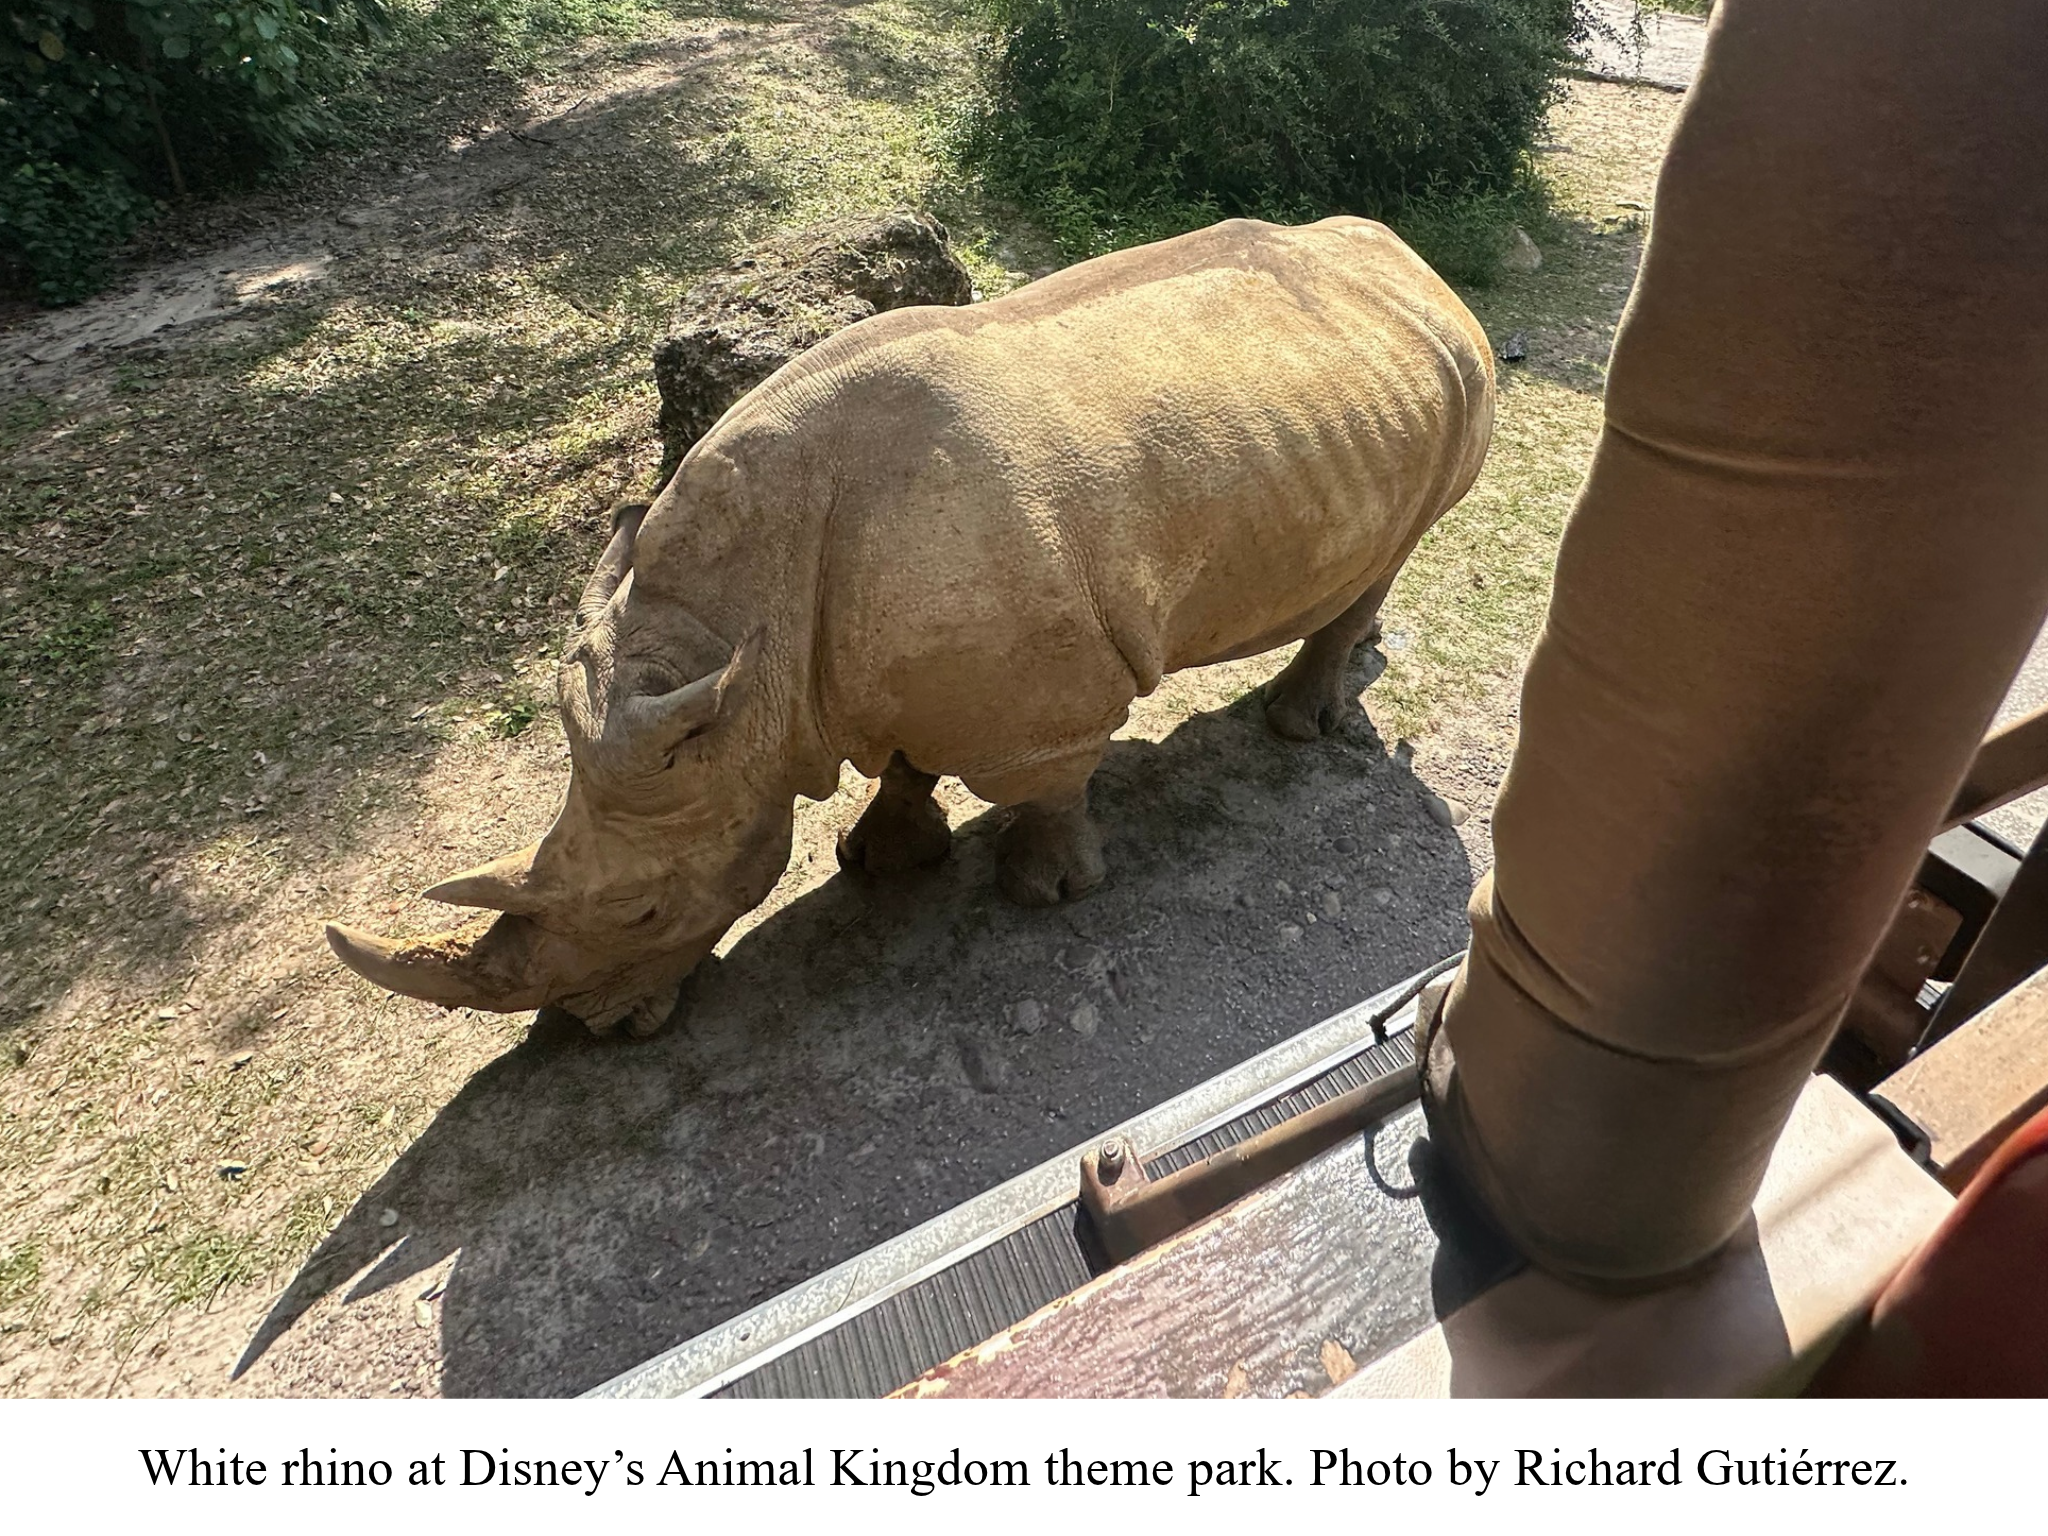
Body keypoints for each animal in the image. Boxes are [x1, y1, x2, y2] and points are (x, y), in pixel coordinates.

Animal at [326, 216, 1496, 1034]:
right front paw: (880, 861)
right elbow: (899, 760)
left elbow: (1043, 787)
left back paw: (1299, 728)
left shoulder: (1036, 714)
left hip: (1463, 389)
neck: (738, 647)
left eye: (648, 913)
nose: (593, 1029)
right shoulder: (854, 674)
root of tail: (1421, 266)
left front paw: (1042, 891)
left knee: (1398, 548)